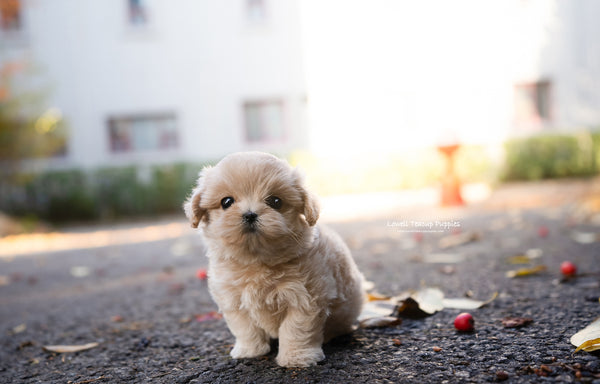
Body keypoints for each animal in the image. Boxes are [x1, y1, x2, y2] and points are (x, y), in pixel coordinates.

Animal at [183, 152, 364, 368]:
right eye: (226, 202)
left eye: (275, 201)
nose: (250, 214)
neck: (256, 260)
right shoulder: (233, 300)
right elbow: (245, 328)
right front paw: (249, 351)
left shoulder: (305, 299)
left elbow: (295, 330)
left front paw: (297, 358)